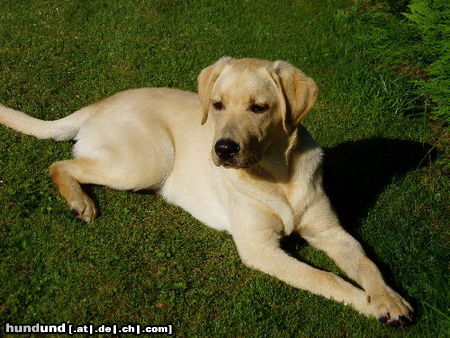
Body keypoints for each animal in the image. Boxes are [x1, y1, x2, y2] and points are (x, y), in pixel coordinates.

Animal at [0, 57, 414, 324]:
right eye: (217, 105)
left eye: (259, 108)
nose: (224, 149)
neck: (279, 171)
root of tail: (97, 104)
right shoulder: (259, 247)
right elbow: (324, 278)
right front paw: (366, 303)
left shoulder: (331, 232)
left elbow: (367, 264)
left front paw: (389, 298)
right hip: (150, 159)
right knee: (60, 164)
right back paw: (80, 202)